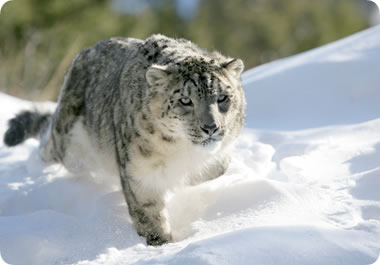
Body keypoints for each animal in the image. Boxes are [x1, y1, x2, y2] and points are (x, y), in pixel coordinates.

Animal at [2, 34, 245, 244]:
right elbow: (148, 212)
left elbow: (218, 167)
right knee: (49, 145)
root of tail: (85, 52)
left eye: (222, 98)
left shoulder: (220, 153)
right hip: (69, 145)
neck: (183, 150)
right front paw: (160, 244)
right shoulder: (139, 170)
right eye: (185, 101)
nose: (211, 128)